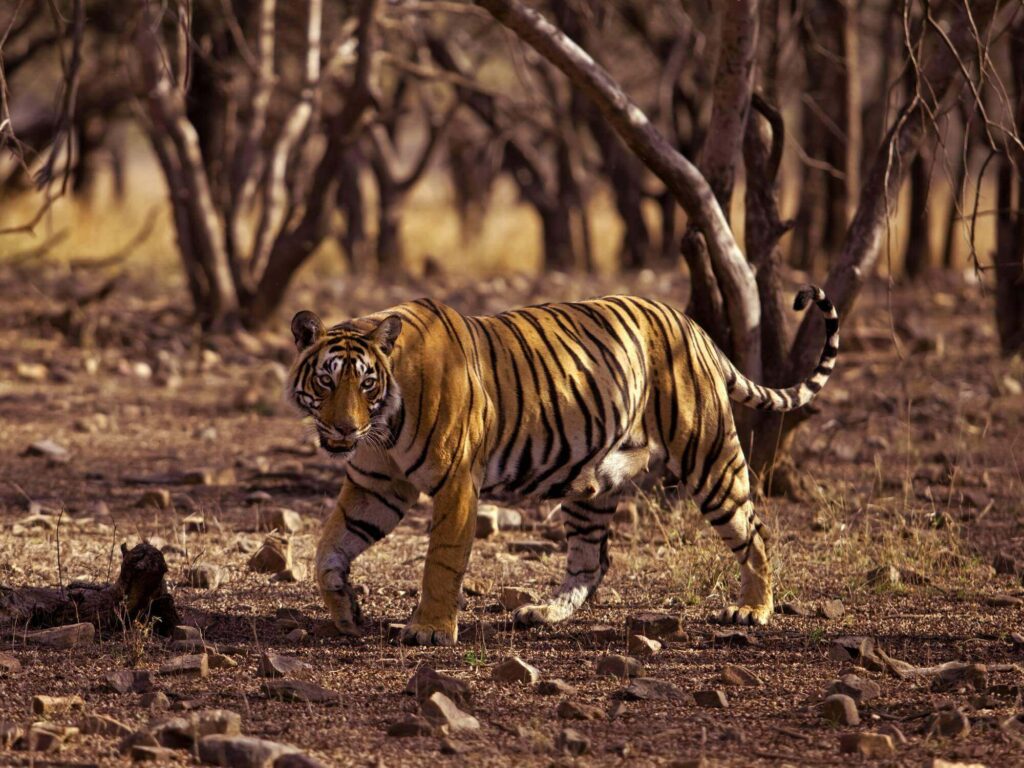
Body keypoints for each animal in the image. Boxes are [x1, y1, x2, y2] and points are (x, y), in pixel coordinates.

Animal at [282, 286, 839, 647]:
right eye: (328, 381)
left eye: (366, 383)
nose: (345, 429)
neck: (385, 423)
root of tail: (693, 325)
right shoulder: (376, 484)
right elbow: (328, 551)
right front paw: (347, 611)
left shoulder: (456, 482)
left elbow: (441, 560)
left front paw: (431, 629)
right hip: (593, 482)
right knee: (592, 561)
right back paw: (543, 612)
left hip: (710, 457)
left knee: (754, 531)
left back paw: (753, 609)